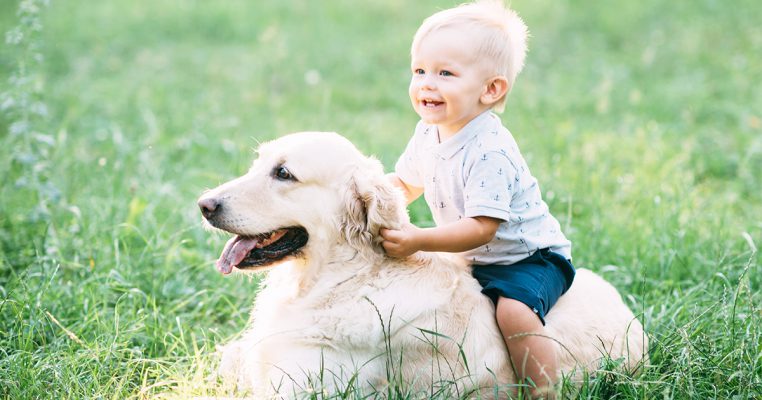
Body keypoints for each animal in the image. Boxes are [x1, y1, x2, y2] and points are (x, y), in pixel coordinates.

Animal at [196, 131, 648, 396]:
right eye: (259, 164)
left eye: (284, 173)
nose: (204, 204)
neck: (347, 276)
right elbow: (226, 357)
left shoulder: (298, 386)